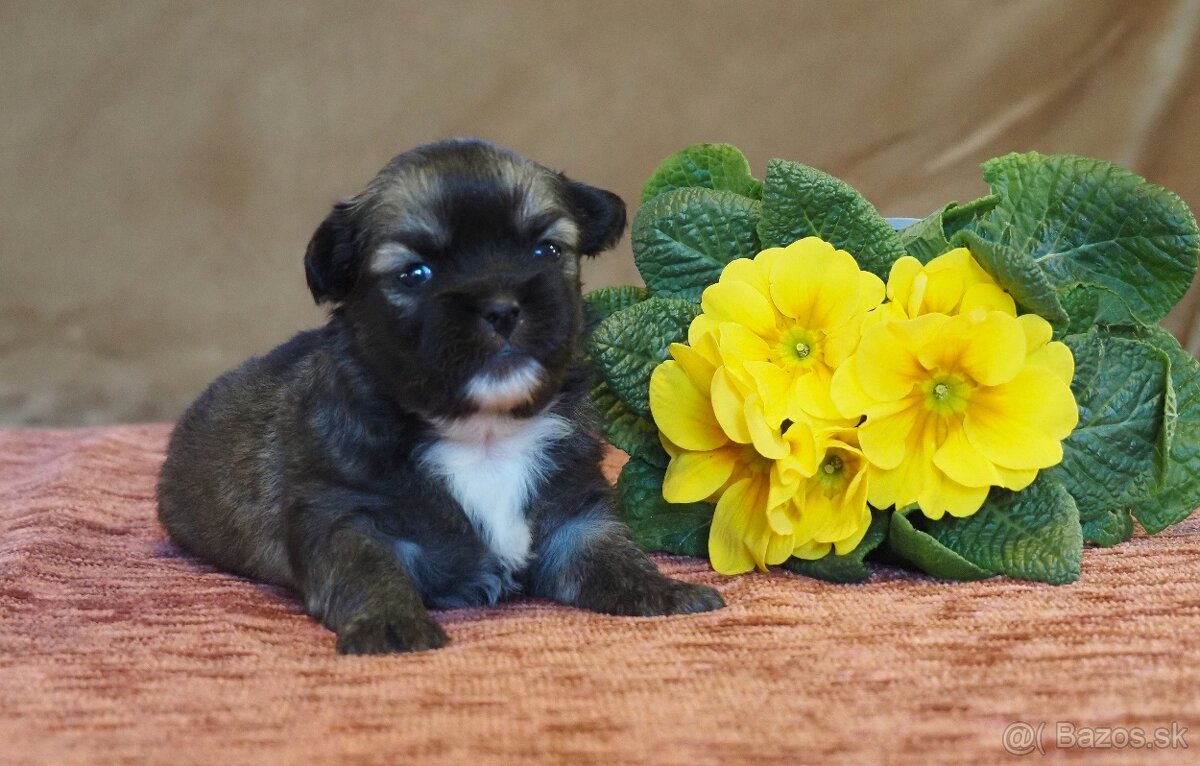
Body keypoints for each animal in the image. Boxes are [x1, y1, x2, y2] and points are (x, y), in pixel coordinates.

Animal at [157, 138, 720, 653]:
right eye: (415, 274)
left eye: (546, 250)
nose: (502, 307)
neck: (484, 434)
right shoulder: (341, 514)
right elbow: (367, 569)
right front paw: (389, 623)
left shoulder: (575, 513)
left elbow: (615, 553)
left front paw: (665, 590)